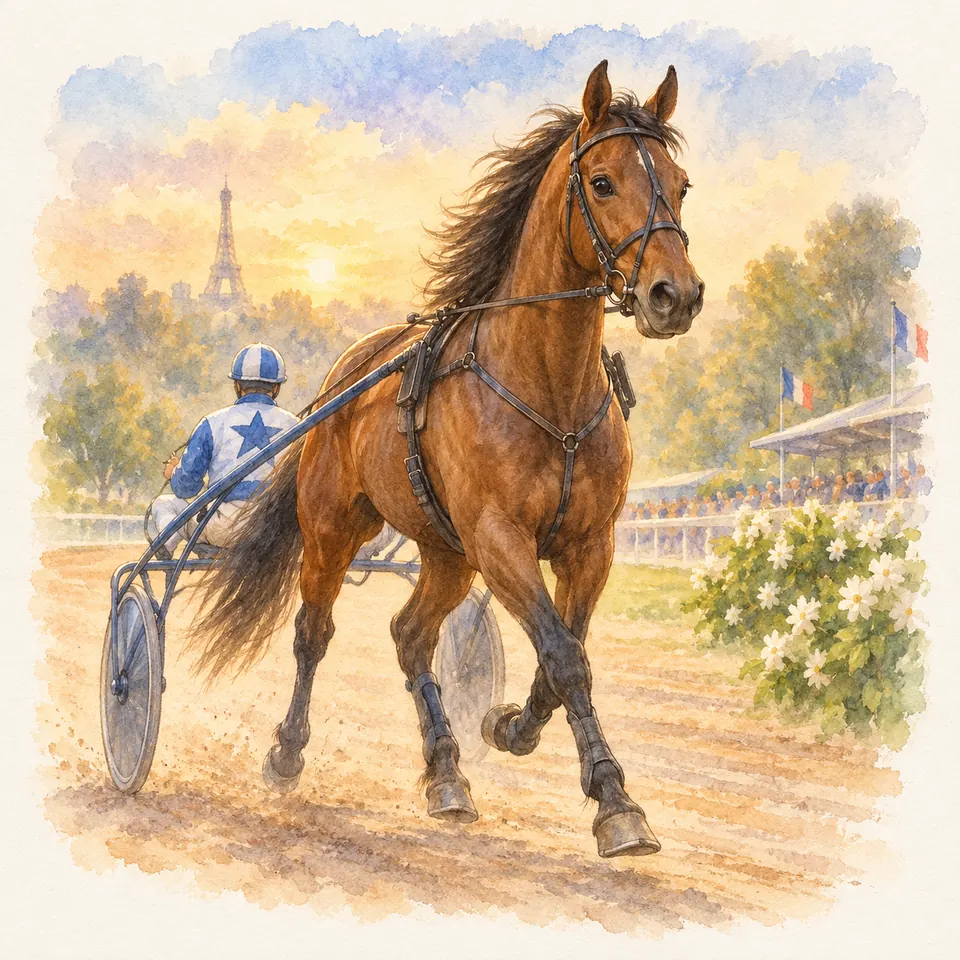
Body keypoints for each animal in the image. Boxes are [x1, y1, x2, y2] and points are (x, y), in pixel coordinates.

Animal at [190, 60, 703, 858]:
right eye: (603, 182)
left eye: (680, 185)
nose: (673, 295)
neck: (549, 394)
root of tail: (343, 379)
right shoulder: (500, 539)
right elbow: (564, 654)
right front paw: (616, 803)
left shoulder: (589, 544)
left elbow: (564, 654)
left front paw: (510, 727)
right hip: (335, 528)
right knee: (313, 634)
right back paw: (287, 753)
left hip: (445, 551)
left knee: (410, 636)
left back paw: (445, 773)